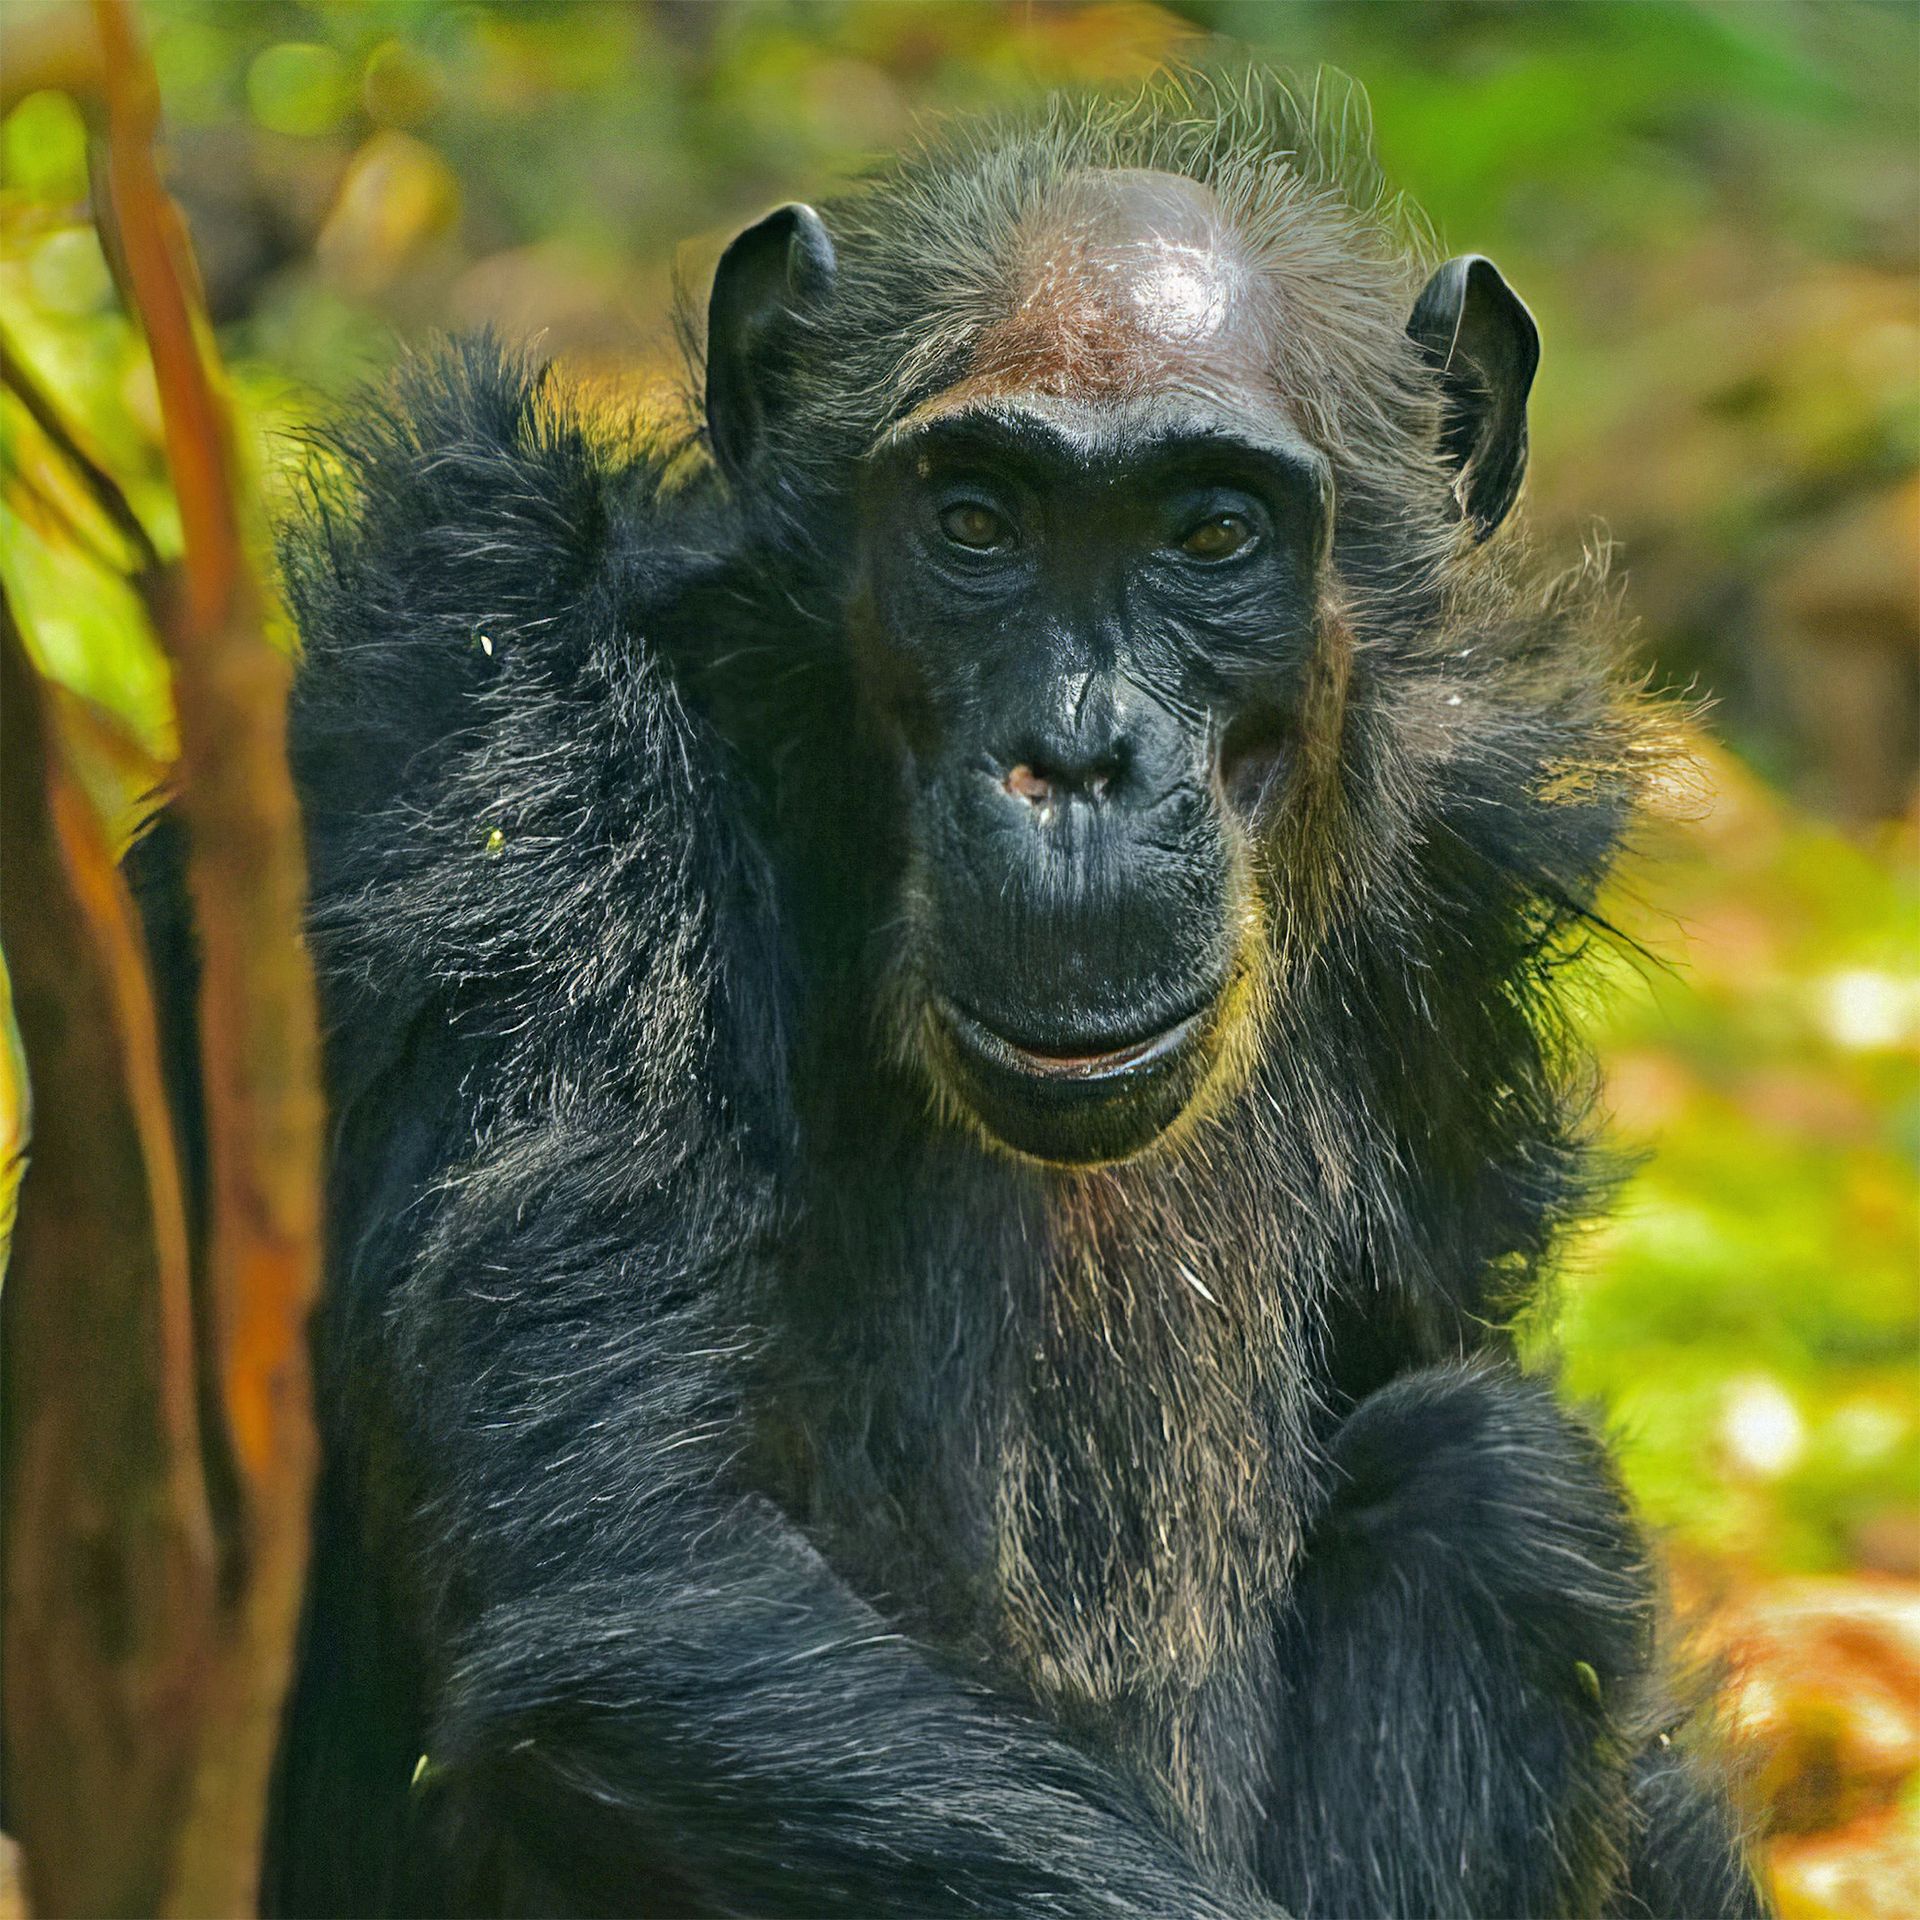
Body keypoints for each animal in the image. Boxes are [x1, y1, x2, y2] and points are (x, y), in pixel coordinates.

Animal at [228, 75, 1769, 1919]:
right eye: (977, 522)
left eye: (1211, 533)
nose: (1077, 759)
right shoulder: (501, 726)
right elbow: (636, 1582)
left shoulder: (1458, 897)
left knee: (1501, 1496)